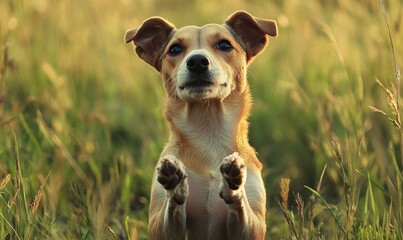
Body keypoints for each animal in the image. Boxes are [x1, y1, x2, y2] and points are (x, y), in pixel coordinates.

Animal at [125, 10, 278, 239]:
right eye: (174, 49)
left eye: (224, 45)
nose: (197, 61)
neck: (208, 131)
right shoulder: (160, 227)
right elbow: (172, 206)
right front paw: (176, 184)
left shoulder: (254, 227)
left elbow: (242, 206)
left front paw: (234, 182)